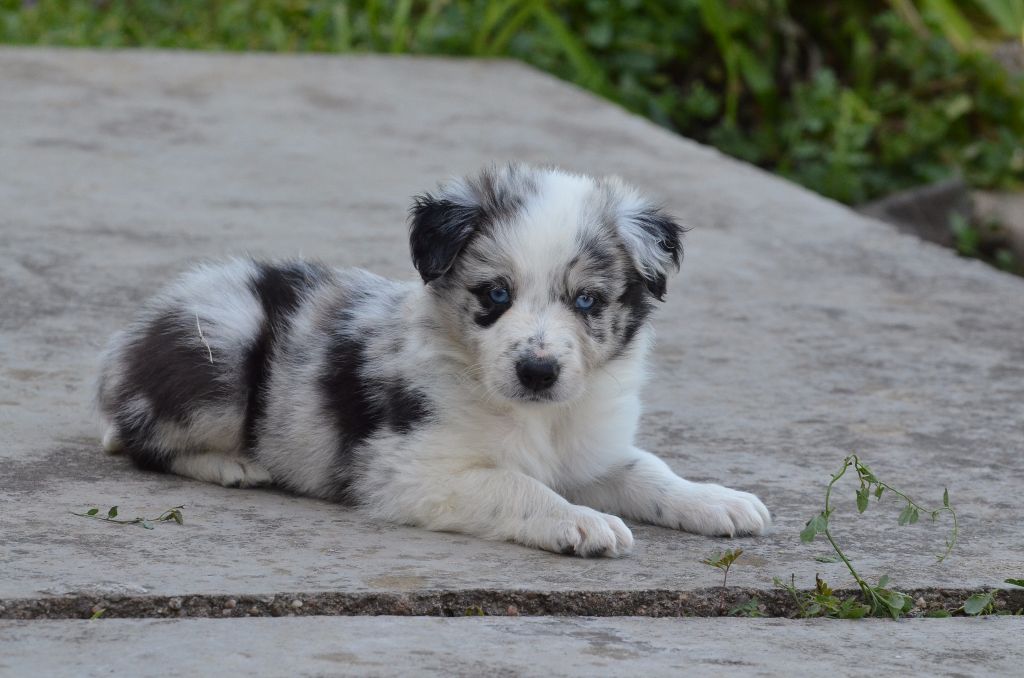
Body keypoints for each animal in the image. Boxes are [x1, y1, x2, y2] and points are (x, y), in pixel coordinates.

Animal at [96, 164, 769, 557]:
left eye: (587, 300)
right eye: (495, 294)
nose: (538, 372)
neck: (539, 418)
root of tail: (125, 351)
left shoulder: (587, 451)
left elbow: (647, 471)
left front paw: (717, 501)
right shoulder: (410, 469)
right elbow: (516, 484)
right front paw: (582, 522)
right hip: (225, 343)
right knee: (144, 439)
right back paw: (234, 465)